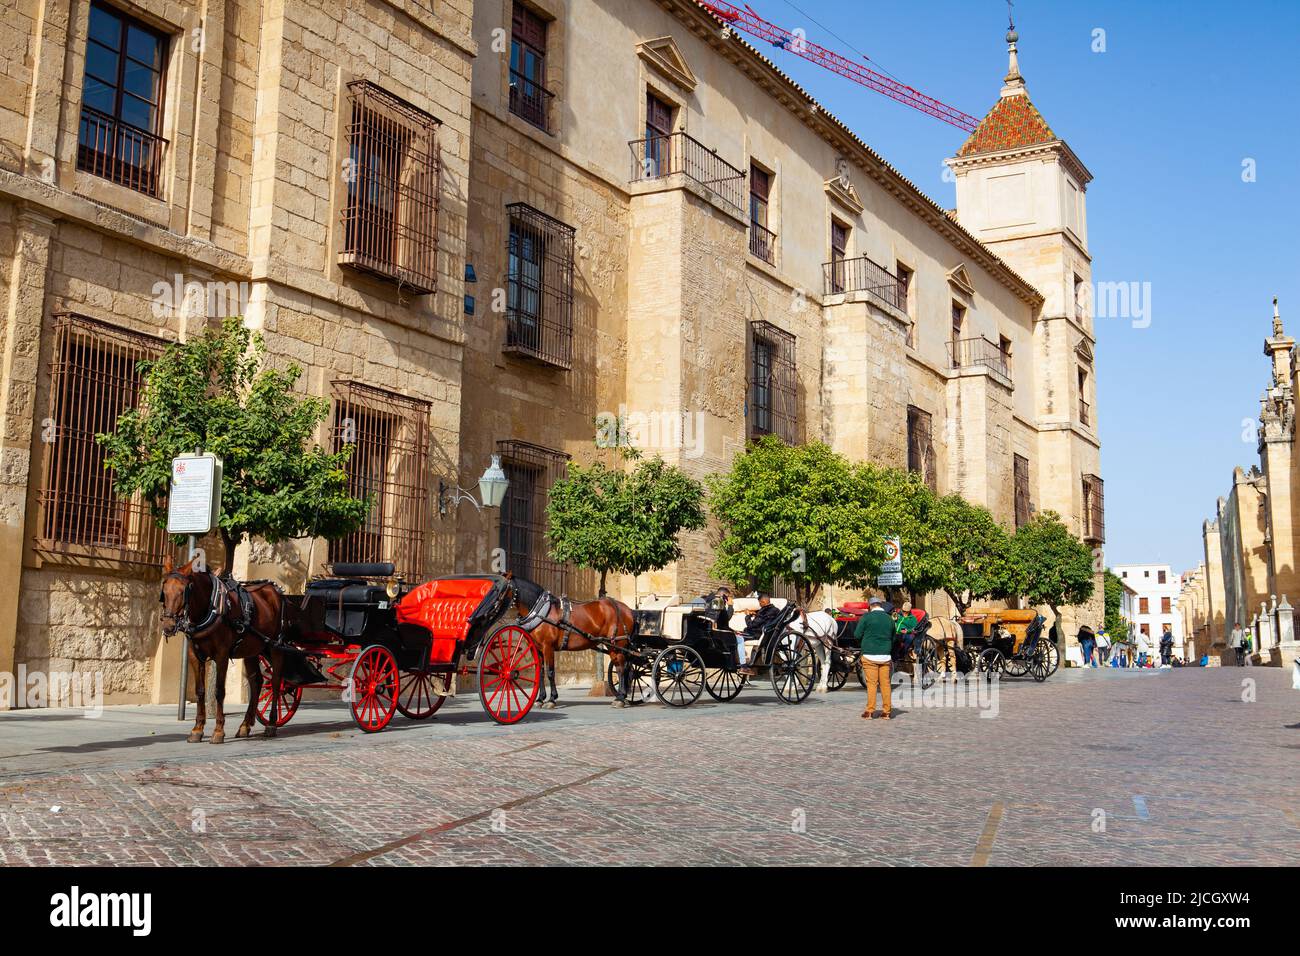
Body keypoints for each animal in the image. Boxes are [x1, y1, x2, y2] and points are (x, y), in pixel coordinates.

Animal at [158, 556, 288, 743]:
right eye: (164, 591)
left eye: (184, 591)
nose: (168, 626)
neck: (211, 608)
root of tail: (275, 590)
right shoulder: (194, 656)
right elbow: (200, 691)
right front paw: (197, 729)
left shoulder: (222, 655)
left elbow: (219, 691)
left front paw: (218, 731)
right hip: (252, 650)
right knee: (256, 682)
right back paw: (245, 725)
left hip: (275, 646)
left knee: (276, 683)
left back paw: (271, 724)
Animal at [504, 574, 631, 702]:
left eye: (503, 588)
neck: (541, 611)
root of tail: (627, 609)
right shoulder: (536, 648)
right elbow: (540, 672)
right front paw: (540, 698)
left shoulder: (548, 647)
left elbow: (550, 672)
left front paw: (552, 698)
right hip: (612, 645)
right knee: (621, 666)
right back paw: (622, 695)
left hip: (618, 643)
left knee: (622, 668)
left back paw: (621, 696)